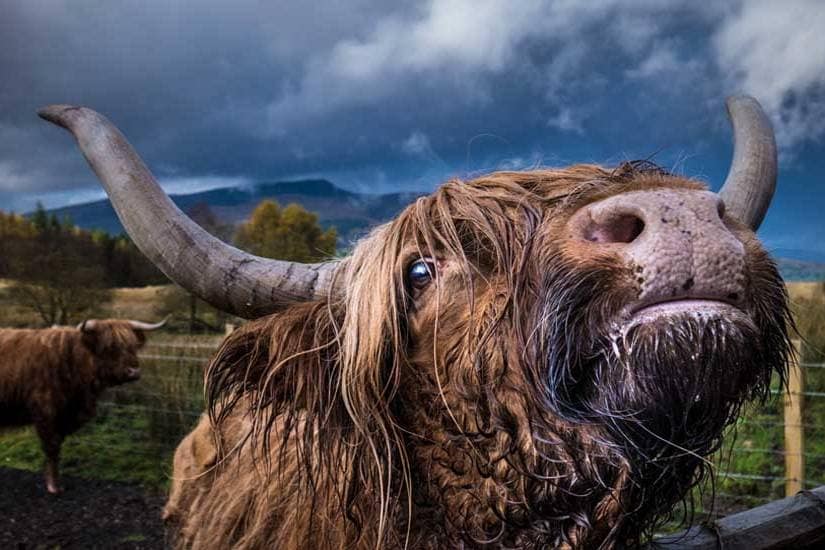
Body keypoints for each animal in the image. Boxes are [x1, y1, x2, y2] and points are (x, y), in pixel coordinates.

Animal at [0, 319, 165, 494]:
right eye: (109, 347)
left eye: (133, 346)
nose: (134, 371)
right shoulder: (45, 411)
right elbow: (52, 447)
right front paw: (53, 486)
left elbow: (57, 446)